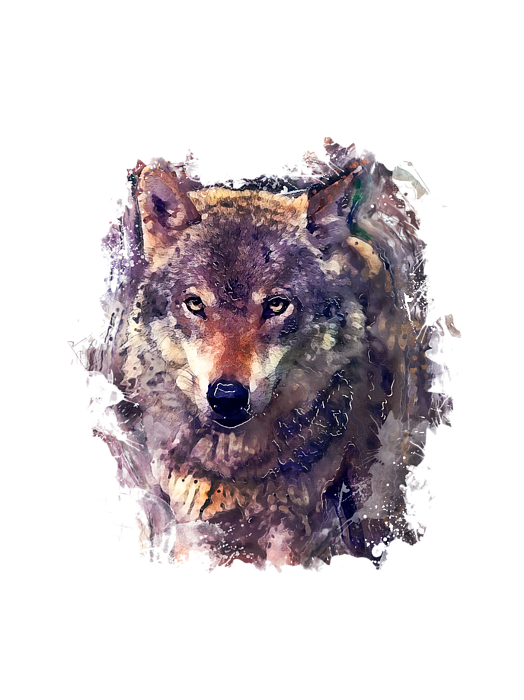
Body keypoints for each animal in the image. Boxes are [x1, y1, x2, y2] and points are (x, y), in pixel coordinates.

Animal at [68, 138, 457, 572]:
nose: (227, 397)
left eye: (275, 306)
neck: (238, 469)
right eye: (194, 304)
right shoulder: (194, 523)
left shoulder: (292, 526)